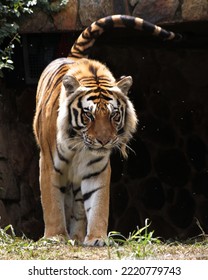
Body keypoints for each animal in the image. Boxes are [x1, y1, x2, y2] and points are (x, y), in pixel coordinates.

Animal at [33, 14, 181, 246]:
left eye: (114, 115)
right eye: (88, 115)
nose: (103, 141)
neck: (78, 146)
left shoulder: (96, 168)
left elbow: (98, 203)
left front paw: (97, 238)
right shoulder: (49, 164)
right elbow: (52, 203)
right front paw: (55, 237)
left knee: (78, 206)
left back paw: (77, 236)